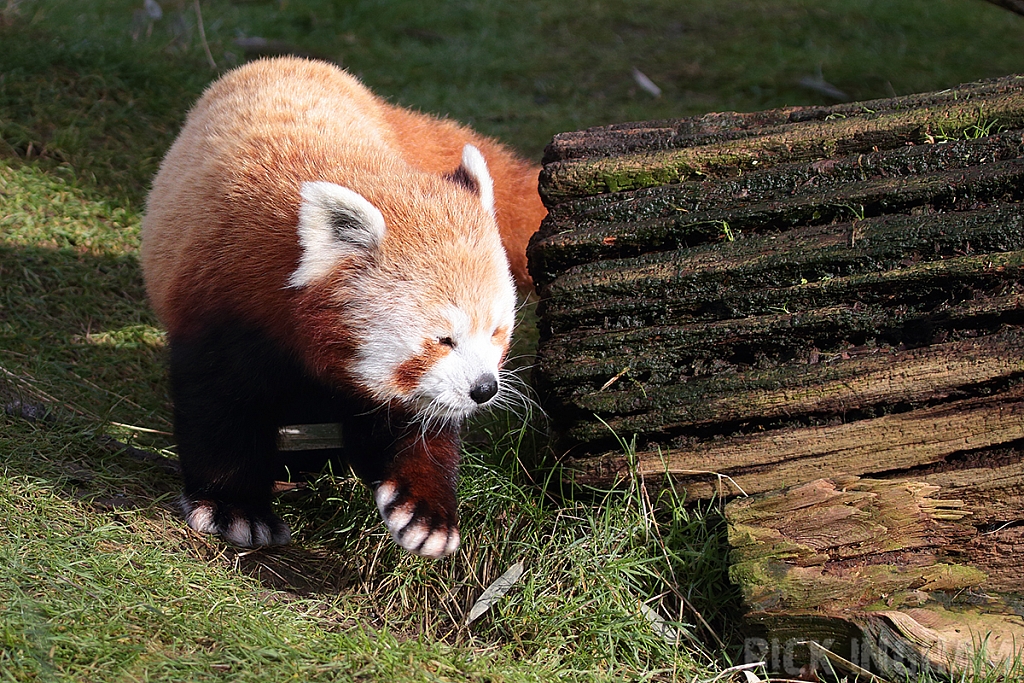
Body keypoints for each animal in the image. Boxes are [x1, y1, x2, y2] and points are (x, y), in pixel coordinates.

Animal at [143, 56, 548, 557]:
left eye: (496, 332)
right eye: (443, 339)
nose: (484, 389)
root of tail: (294, 62)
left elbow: (414, 421)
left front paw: (425, 512)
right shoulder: (223, 306)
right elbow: (220, 410)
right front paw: (234, 509)